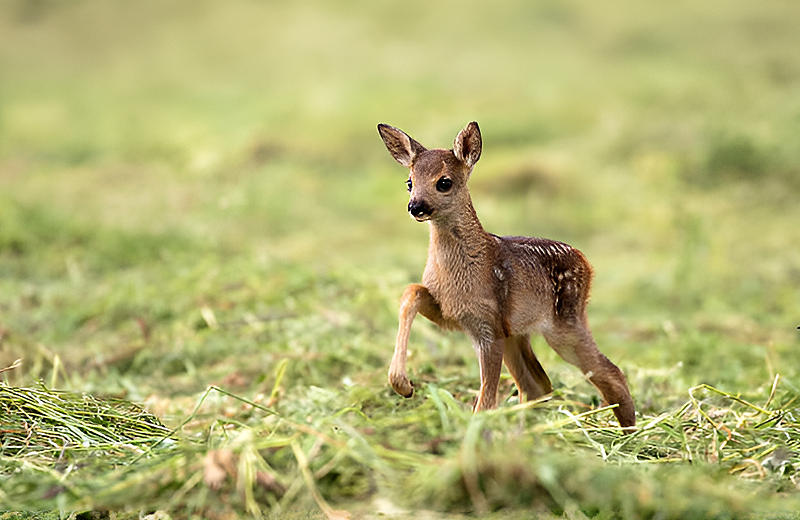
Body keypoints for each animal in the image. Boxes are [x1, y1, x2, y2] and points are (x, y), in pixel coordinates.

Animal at [378, 120, 636, 428]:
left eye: (444, 182)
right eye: (409, 182)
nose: (415, 206)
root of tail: (587, 264)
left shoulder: (488, 326)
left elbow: (486, 400)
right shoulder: (455, 314)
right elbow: (412, 291)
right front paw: (402, 385)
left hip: (564, 324)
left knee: (609, 371)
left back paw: (629, 432)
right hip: (517, 333)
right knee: (538, 385)